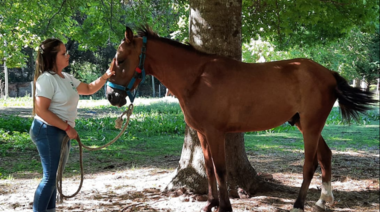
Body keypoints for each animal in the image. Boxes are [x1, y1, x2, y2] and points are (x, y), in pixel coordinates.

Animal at [105, 26, 378, 212]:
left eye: (120, 59)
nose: (111, 95)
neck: (198, 78)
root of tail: (328, 73)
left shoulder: (215, 132)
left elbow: (220, 169)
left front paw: (225, 206)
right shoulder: (203, 133)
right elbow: (209, 169)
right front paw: (211, 203)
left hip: (311, 126)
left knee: (310, 164)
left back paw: (298, 205)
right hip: (305, 124)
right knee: (326, 155)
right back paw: (323, 200)